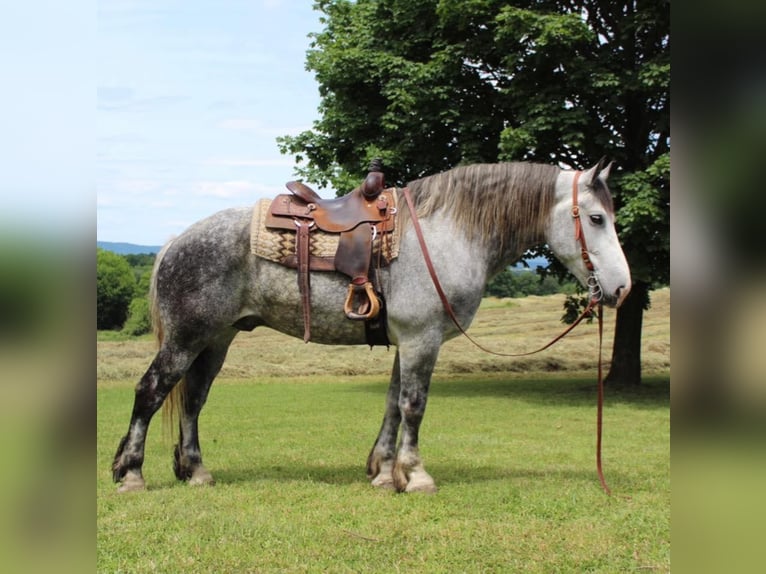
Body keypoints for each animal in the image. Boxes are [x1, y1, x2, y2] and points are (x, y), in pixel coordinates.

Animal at [112, 162, 632, 496]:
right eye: (596, 218)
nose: (621, 287)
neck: (447, 234)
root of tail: (175, 241)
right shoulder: (422, 340)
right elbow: (414, 406)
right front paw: (416, 476)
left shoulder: (409, 341)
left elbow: (392, 405)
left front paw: (383, 471)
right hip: (186, 338)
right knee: (151, 391)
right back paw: (131, 474)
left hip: (215, 340)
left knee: (193, 399)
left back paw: (196, 471)